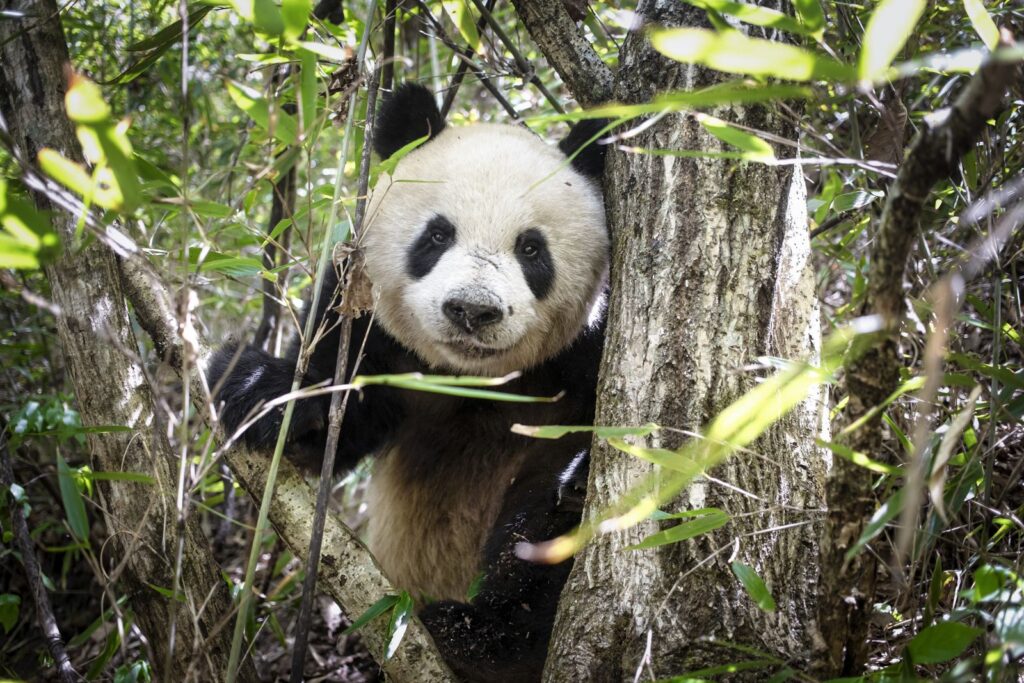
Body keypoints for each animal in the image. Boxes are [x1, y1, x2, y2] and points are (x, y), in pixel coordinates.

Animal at [209, 83, 609, 682]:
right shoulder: (367, 322)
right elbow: (337, 420)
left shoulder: (590, 347)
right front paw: (259, 387)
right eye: (437, 234)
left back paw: (477, 635)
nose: (473, 310)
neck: (475, 380)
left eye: (531, 248)